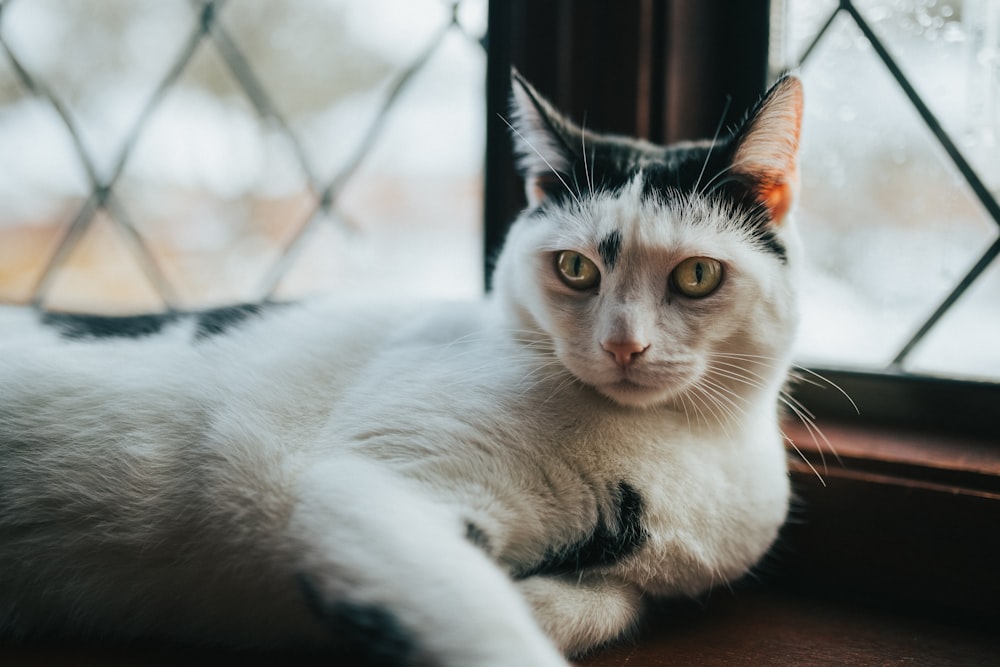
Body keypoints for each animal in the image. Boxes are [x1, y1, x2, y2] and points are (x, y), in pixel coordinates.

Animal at [0, 70, 800, 664]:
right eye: (575, 269)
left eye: (696, 275)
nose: (623, 346)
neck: (688, 447)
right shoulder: (370, 491)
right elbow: (485, 623)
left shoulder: (637, 580)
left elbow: (612, 603)